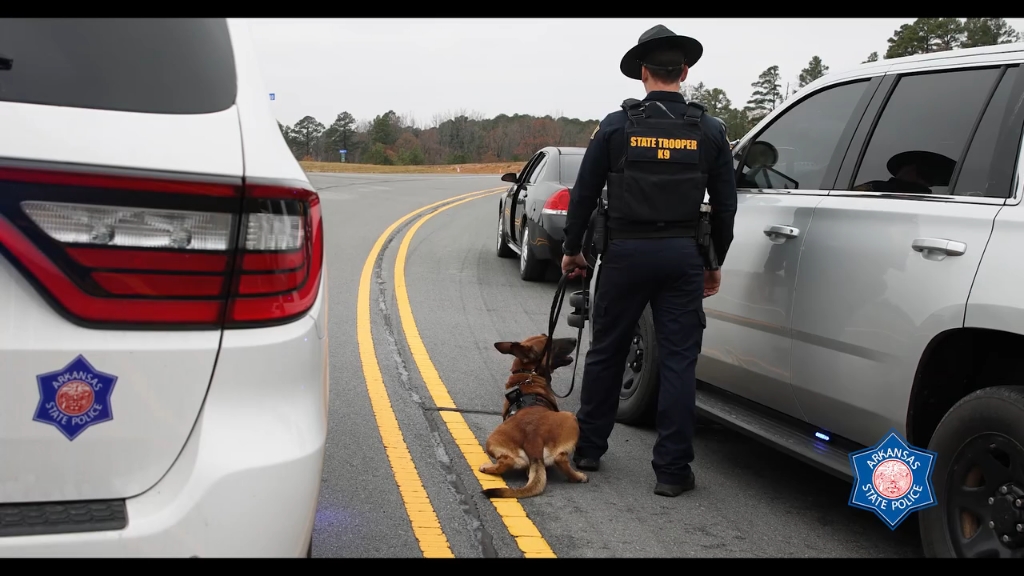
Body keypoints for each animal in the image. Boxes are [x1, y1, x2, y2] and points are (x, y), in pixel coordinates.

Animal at [477, 334, 589, 496]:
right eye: (550, 343)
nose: (575, 339)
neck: (527, 374)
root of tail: (533, 439)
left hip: (492, 442)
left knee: (506, 462)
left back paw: (487, 467)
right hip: (571, 417)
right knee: (560, 458)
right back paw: (579, 477)